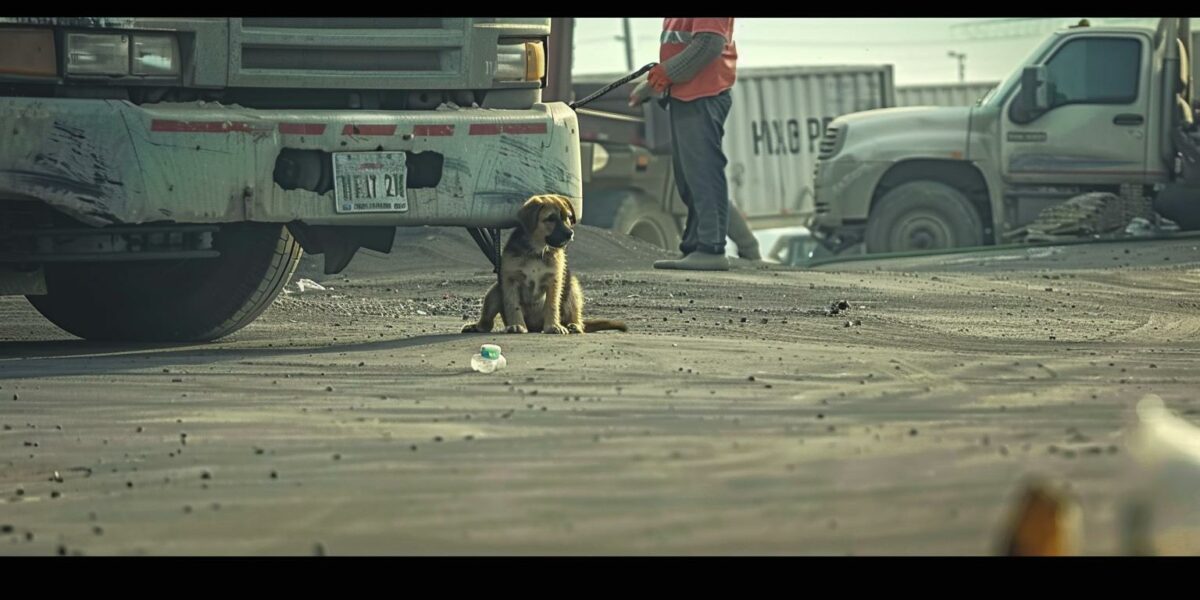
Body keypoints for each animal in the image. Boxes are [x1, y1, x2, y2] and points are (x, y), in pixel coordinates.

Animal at [460, 196, 628, 338]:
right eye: (550, 219)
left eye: (568, 217)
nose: (570, 233)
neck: (537, 251)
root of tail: (534, 327)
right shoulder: (510, 280)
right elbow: (513, 305)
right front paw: (516, 325)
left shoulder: (554, 280)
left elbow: (552, 305)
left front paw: (553, 326)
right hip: (494, 290)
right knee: (487, 322)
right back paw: (476, 327)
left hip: (572, 287)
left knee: (576, 319)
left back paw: (573, 326)